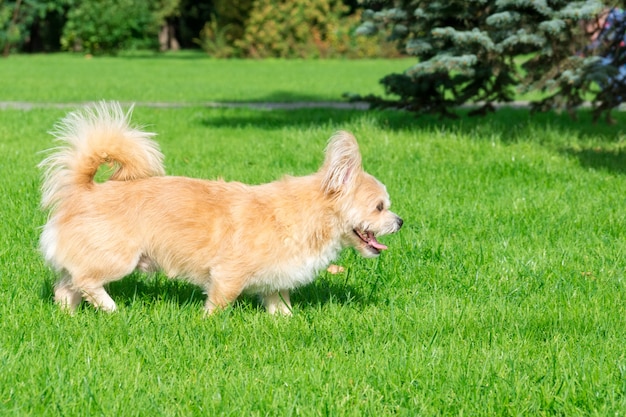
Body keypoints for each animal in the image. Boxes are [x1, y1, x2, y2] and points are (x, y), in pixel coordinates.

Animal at [37, 102, 400, 314]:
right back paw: (111, 308)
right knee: (85, 281)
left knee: (66, 285)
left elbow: (280, 306)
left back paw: (69, 315)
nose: (400, 221)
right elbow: (218, 305)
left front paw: (286, 322)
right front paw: (207, 323)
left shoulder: (276, 283)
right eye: (379, 207)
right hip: (117, 258)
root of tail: (85, 189)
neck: (309, 216)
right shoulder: (228, 276)